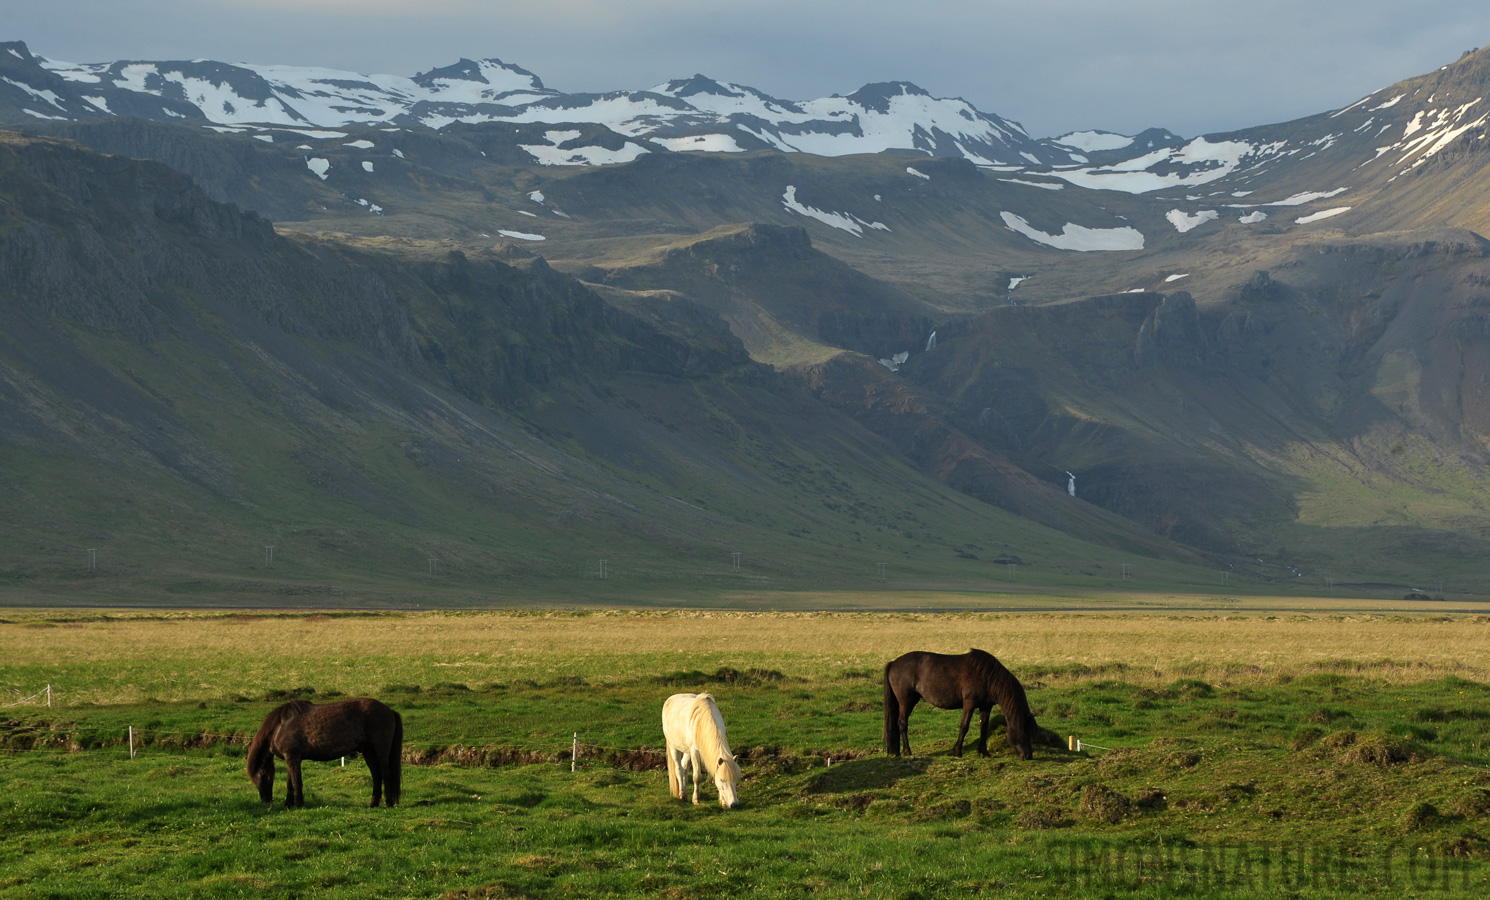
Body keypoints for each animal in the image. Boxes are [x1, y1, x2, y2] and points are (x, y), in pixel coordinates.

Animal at [247, 697, 405, 810]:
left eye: (262, 776)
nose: (266, 800)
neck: (280, 726)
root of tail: (389, 710)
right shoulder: (291, 759)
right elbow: (290, 783)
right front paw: (288, 804)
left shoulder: (292, 757)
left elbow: (297, 782)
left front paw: (300, 804)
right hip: (368, 751)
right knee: (376, 775)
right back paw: (373, 803)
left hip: (380, 750)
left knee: (385, 774)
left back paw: (389, 803)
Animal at [882, 646, 1037, 759]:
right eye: (1026, 732)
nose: (1028, 756)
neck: (987, 676)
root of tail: (893, 663)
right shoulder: (969, 703)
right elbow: (964, 726)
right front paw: (957, 752)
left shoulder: (985, 706)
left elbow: (983, 728)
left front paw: (984, 752)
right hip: (906, 701)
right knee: (902, 723)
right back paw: (907, 751)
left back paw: (898, 752)